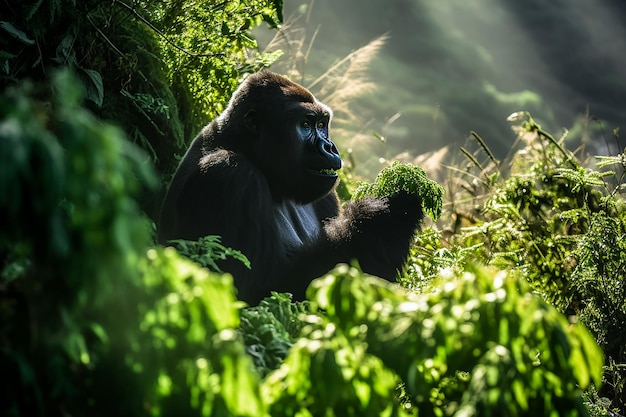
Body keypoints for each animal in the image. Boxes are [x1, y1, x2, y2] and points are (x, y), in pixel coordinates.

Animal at [157, 71, 424, 304]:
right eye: (305, 124)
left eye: (322, 124)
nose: (330, 147)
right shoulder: (229, 173)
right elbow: (249, 290)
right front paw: (381, 217)